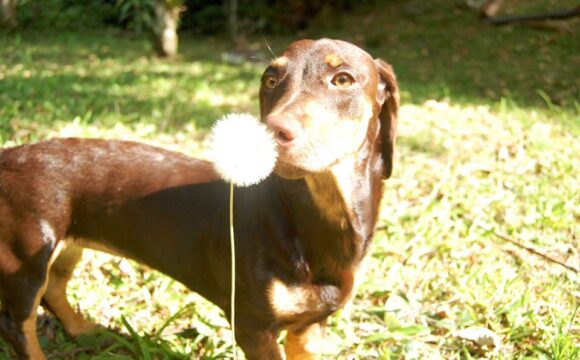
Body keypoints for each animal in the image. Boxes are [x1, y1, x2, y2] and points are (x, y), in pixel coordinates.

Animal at [0, 38, 398, 358]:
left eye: (343, 79)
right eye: (270, 80)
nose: (267, 135)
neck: (309, 222)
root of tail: (9, 155)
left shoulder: (310, 328)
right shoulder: (252, 326)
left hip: (67, 245)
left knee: (54, 290)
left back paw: (84, 330)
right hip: (26, 258)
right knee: (19, 325)